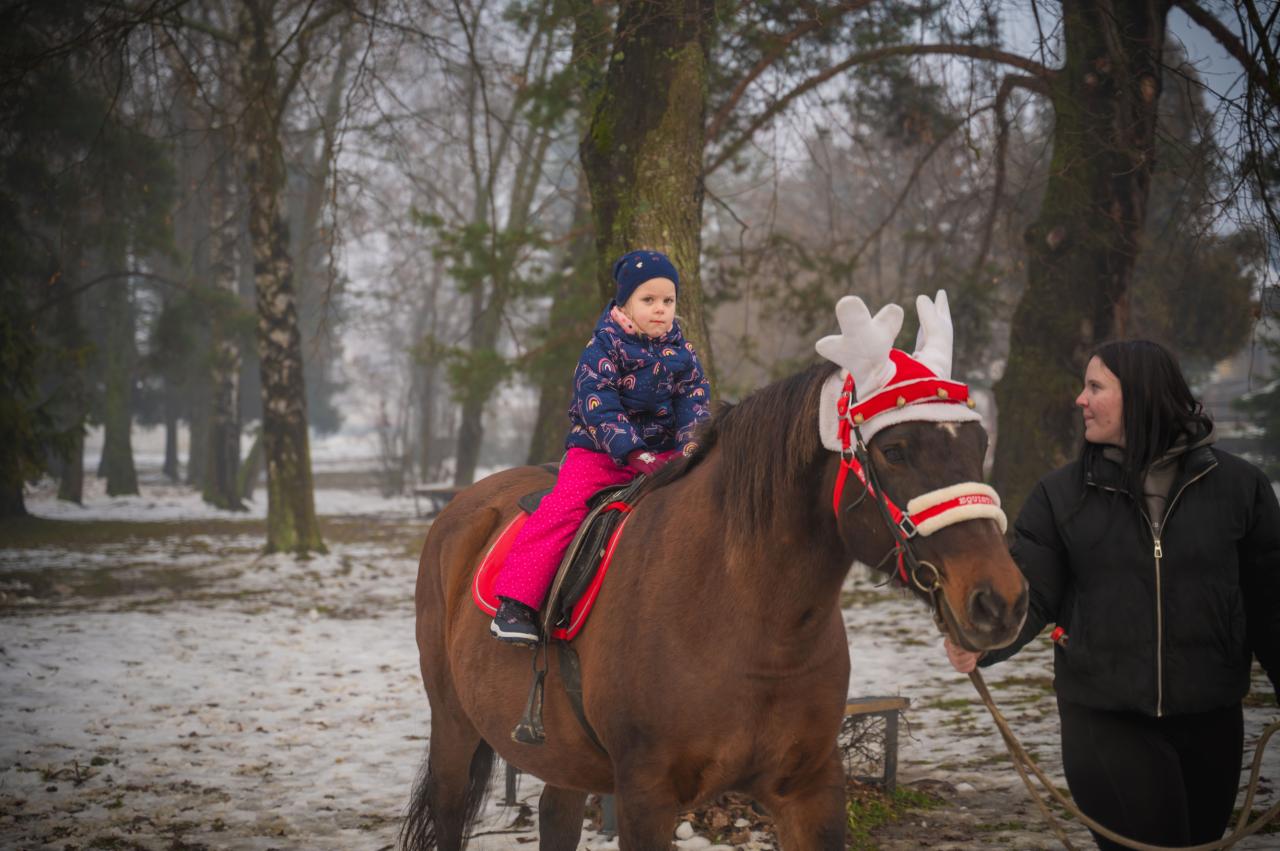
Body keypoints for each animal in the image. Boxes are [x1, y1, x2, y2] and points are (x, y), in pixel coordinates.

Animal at [403, 359, 1028, 851]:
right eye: (895, 451)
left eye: (980, 446)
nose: (1000, 600)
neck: (747, 621)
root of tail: (464, 506)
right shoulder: (645, 797)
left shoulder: (810, 788)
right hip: (453, 725)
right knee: (450, 810)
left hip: (565, 754)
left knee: (557, 816)